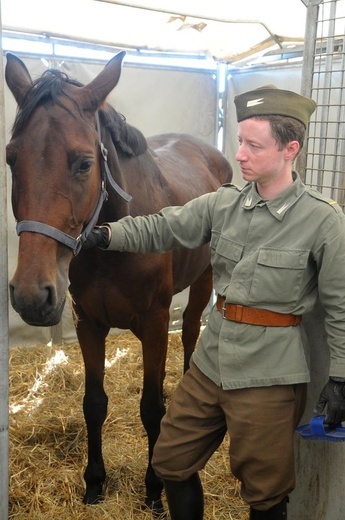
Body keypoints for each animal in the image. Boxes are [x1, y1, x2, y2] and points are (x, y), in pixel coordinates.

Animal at [5, 50, 232, 512]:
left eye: (84, 163)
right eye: (10, 158)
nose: (32, 295)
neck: (111, 246)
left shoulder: (155, 324)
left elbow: (151, 408)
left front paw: (154, 488)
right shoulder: (87, 324)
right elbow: (94, 403)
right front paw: (94, 481)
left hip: (203, 281)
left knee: (191, 333)